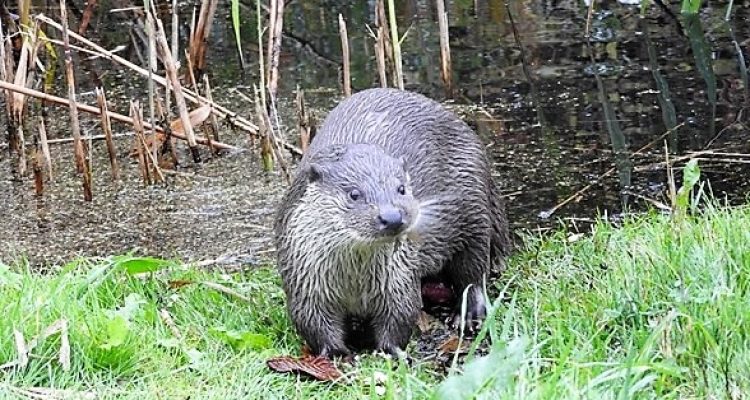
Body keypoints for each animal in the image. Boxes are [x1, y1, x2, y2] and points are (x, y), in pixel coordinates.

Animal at [274, 88, 510, 358]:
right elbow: (312, 322)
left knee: (473, 271)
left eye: (402, 188)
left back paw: (469, 315)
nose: (392, 217)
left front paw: (390, 351)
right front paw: (335, 353)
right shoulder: (305, 282)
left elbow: (400, 315)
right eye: (354, 194)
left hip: (473, 208)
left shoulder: (398, 279)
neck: (353, 282)